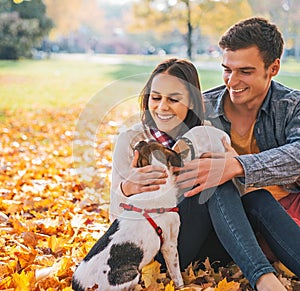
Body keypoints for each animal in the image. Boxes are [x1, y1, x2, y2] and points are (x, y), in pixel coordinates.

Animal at [72, 140, 185, 290]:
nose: (140, 141)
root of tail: (79, 286)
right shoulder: (169, 245)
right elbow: (176, 274)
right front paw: (183, 286)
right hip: (131, 275)